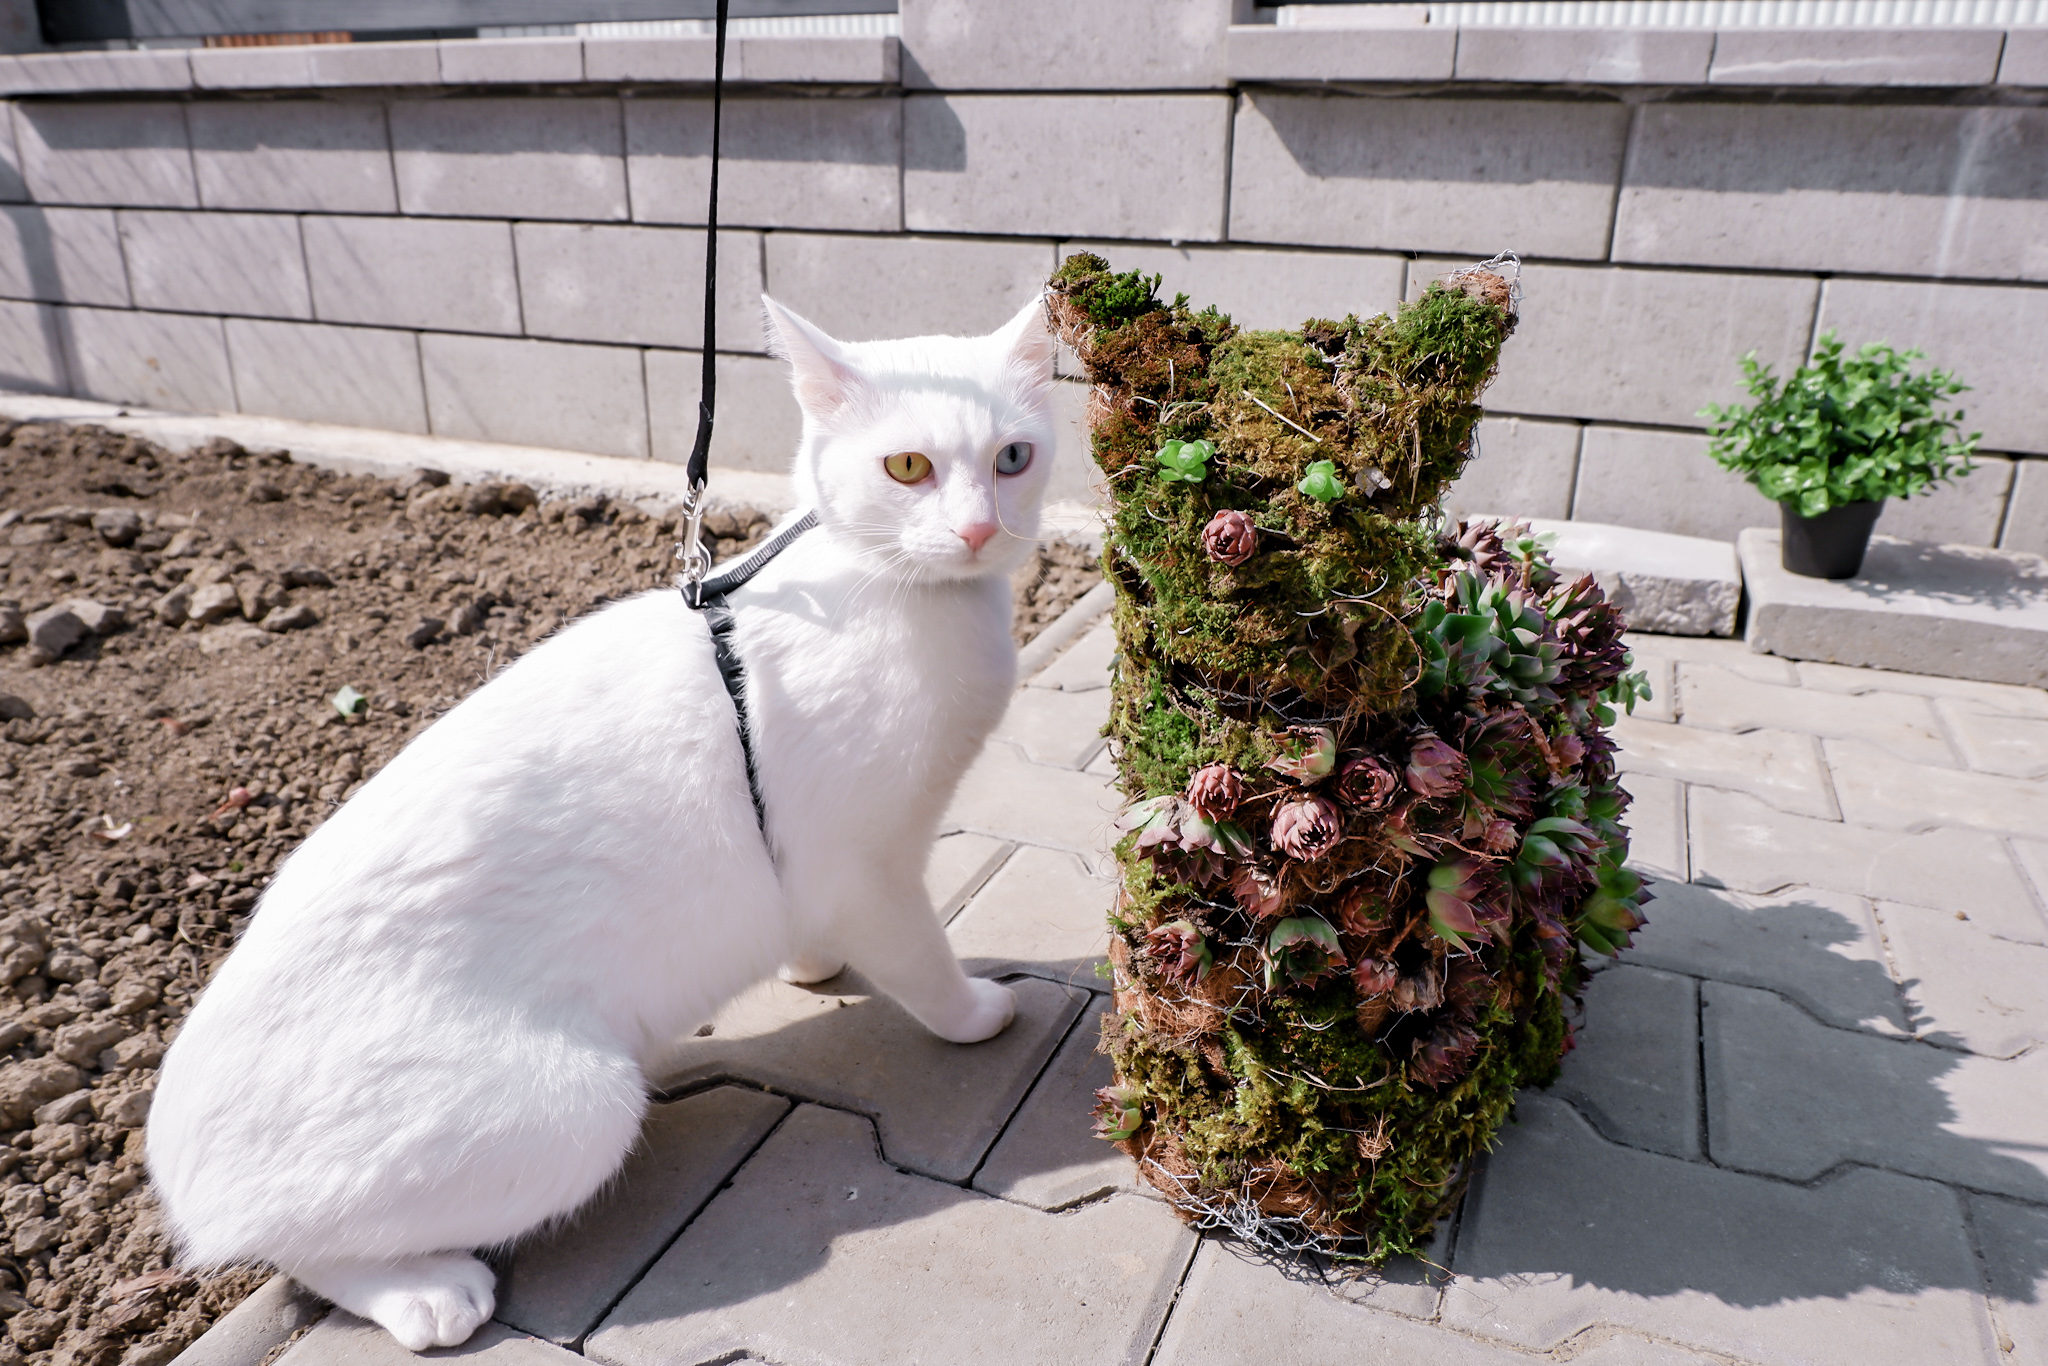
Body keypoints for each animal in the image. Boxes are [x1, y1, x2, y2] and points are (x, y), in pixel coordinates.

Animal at [148, 294, 1056, 1351]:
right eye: (907, 467)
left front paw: (814, 968)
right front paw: (976, 1015)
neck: (888, 592)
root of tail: (175, 1177)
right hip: (583, 1109)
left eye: (1013, 457)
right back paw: (429, 1295)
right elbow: (923, 964)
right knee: (295, 1250)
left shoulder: (814, 875)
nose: (980, 529)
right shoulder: (869, 870)